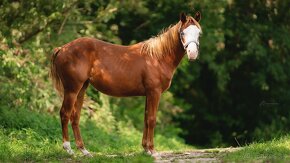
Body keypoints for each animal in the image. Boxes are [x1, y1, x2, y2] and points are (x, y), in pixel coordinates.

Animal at [50, 11, 202, 157]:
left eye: (199, 33)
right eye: (182, 33)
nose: (192, 53)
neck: (157, 57)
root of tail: (62, 48)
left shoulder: (148, 94)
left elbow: (146, 118)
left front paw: (145, 149)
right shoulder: (154, 92)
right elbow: (152, 119)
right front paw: (152, 150)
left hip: (82, 88)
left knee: (75, 117)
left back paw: (84, 151)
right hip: (72, 89)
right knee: (65, 114)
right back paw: (69, 149)